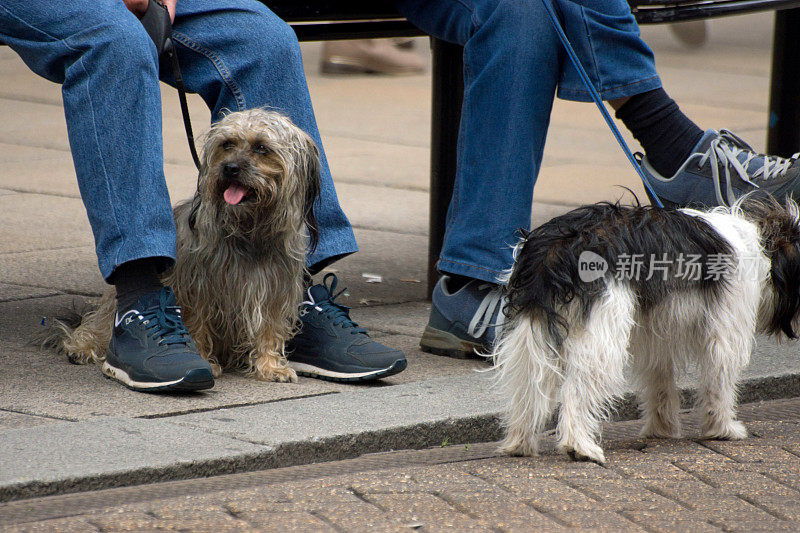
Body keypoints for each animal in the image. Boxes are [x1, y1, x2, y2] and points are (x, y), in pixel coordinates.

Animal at [58, 109, 318, 382]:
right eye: (227, 144)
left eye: (261, 147)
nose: (230, 168)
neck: (248, 232)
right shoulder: (196, 288)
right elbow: (197, 324)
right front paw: (204, 360)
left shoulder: (275, 291)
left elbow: (269, 329)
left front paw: (270, 366)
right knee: (100, 324)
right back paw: (82, 346)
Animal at [494, 197, 800, 464]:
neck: (759, 245)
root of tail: (559, 245)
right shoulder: (725, 331)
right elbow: (719, 381)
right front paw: (722, 429)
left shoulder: (656, 335)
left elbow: (659, 379)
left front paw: (661, 428)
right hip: (601, 334)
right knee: (577, 390)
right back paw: (579, 446)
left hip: (530, 327)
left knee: (528, 383)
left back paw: (520, 443)